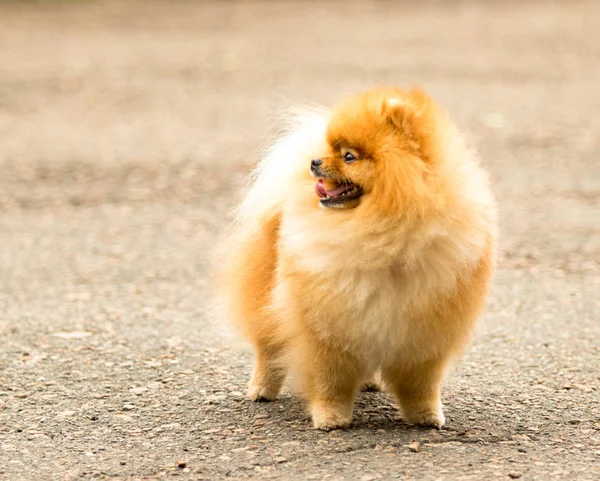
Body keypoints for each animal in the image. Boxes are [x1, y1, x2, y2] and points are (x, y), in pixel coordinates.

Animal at [220, 87, 496, 432]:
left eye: (349, 156)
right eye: (331, 149)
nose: (314, 161)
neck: (383, 236)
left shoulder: (425, 332)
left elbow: (421, 383)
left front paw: (426, 415)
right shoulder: (326, 327)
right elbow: (330, 380)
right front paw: (330, 417)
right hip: (267, 301)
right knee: (268, 349)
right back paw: (261, 389)